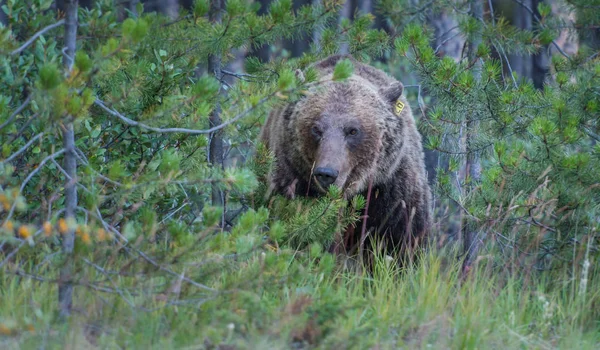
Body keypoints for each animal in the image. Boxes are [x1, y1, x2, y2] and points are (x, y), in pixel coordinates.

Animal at [260, 55, 428, 258]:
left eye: (353, 130)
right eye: (316, 129)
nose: (326, 174)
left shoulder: (391, 189)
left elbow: (402, 238)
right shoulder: (293, 179)